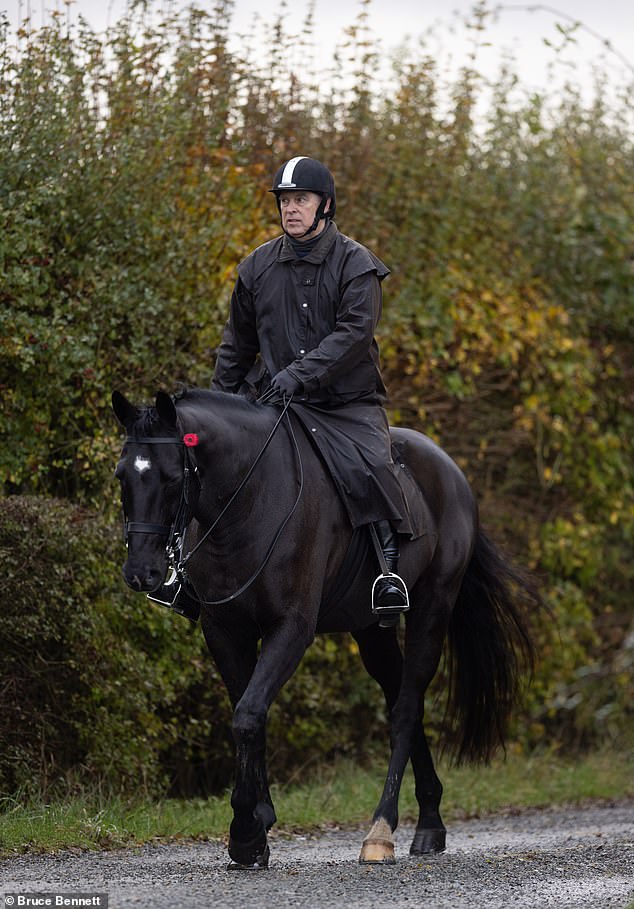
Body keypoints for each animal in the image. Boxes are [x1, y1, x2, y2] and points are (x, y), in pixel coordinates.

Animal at [112, 386, 532, 868]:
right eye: (122, 475)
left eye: (170, 477)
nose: (140, 573)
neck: (247, 502)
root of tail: (450, 469)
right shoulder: (225, 630)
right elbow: (247, 712)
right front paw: (258, 822)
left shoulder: (292, 628)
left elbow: (248, 716)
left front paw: (245, 831)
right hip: (371, 631)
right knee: (402, 701)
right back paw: (430, 822)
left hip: (432, 608)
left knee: (406, 710)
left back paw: (381, 830)